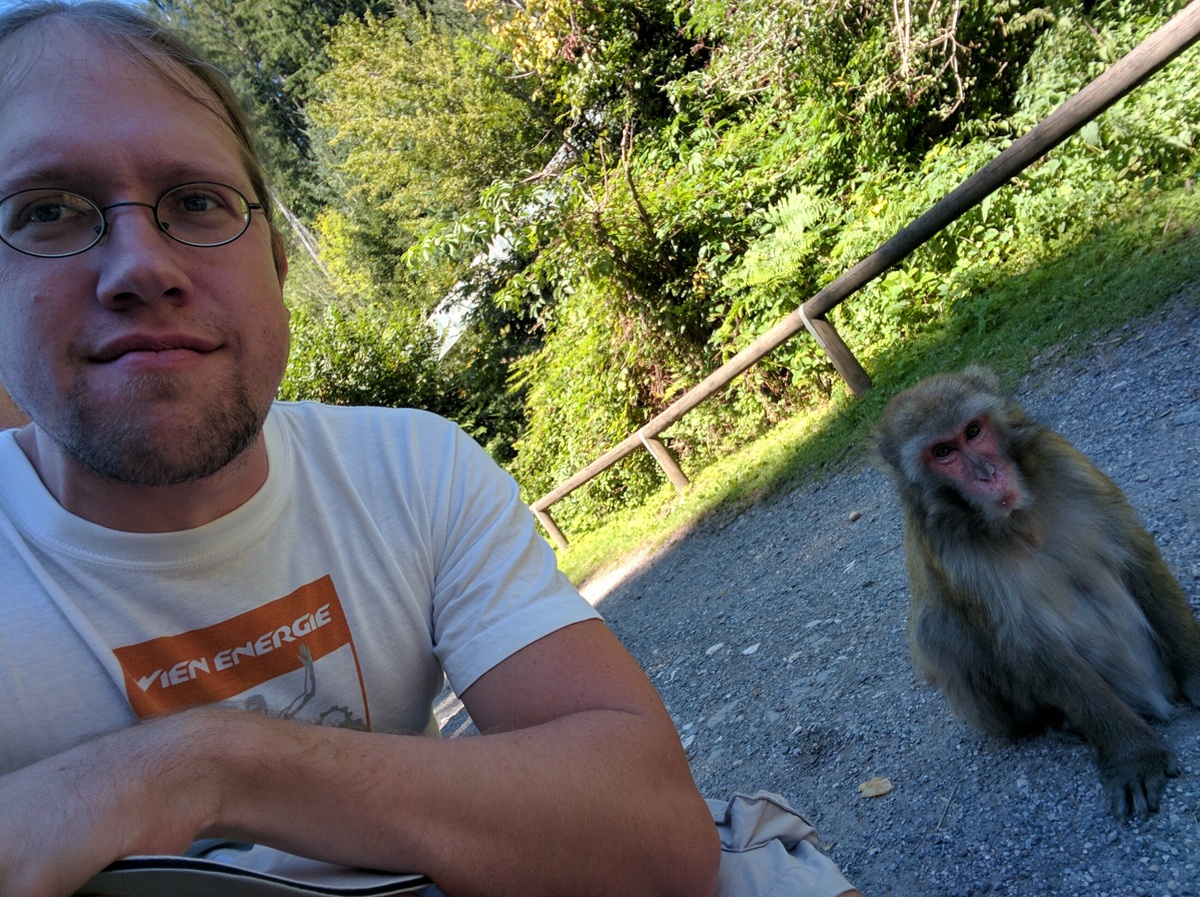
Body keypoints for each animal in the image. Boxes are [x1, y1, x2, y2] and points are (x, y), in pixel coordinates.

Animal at [873, 366, 1200, 819]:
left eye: (973, 431)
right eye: (943, 452)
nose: (987, 474)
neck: (1016, 519)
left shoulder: (1060, 458)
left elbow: (1136, 557)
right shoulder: (946, 547)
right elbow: (1028, 641)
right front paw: (1134, 753)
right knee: (937, 631)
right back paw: (1055, 721)